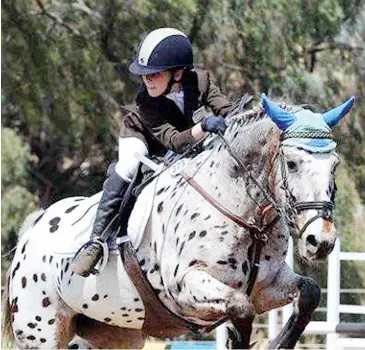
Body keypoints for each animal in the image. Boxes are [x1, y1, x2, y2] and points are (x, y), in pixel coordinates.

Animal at [1, 94, 354, 348]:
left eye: (335, 165)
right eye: (292, 163)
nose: (321, 241)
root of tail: (32, 231)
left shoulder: (268, 285)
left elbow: (309, 293)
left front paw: (279, 342)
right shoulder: (185, 286)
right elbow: (241, 308)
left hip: (113, 333)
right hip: (41, 333)